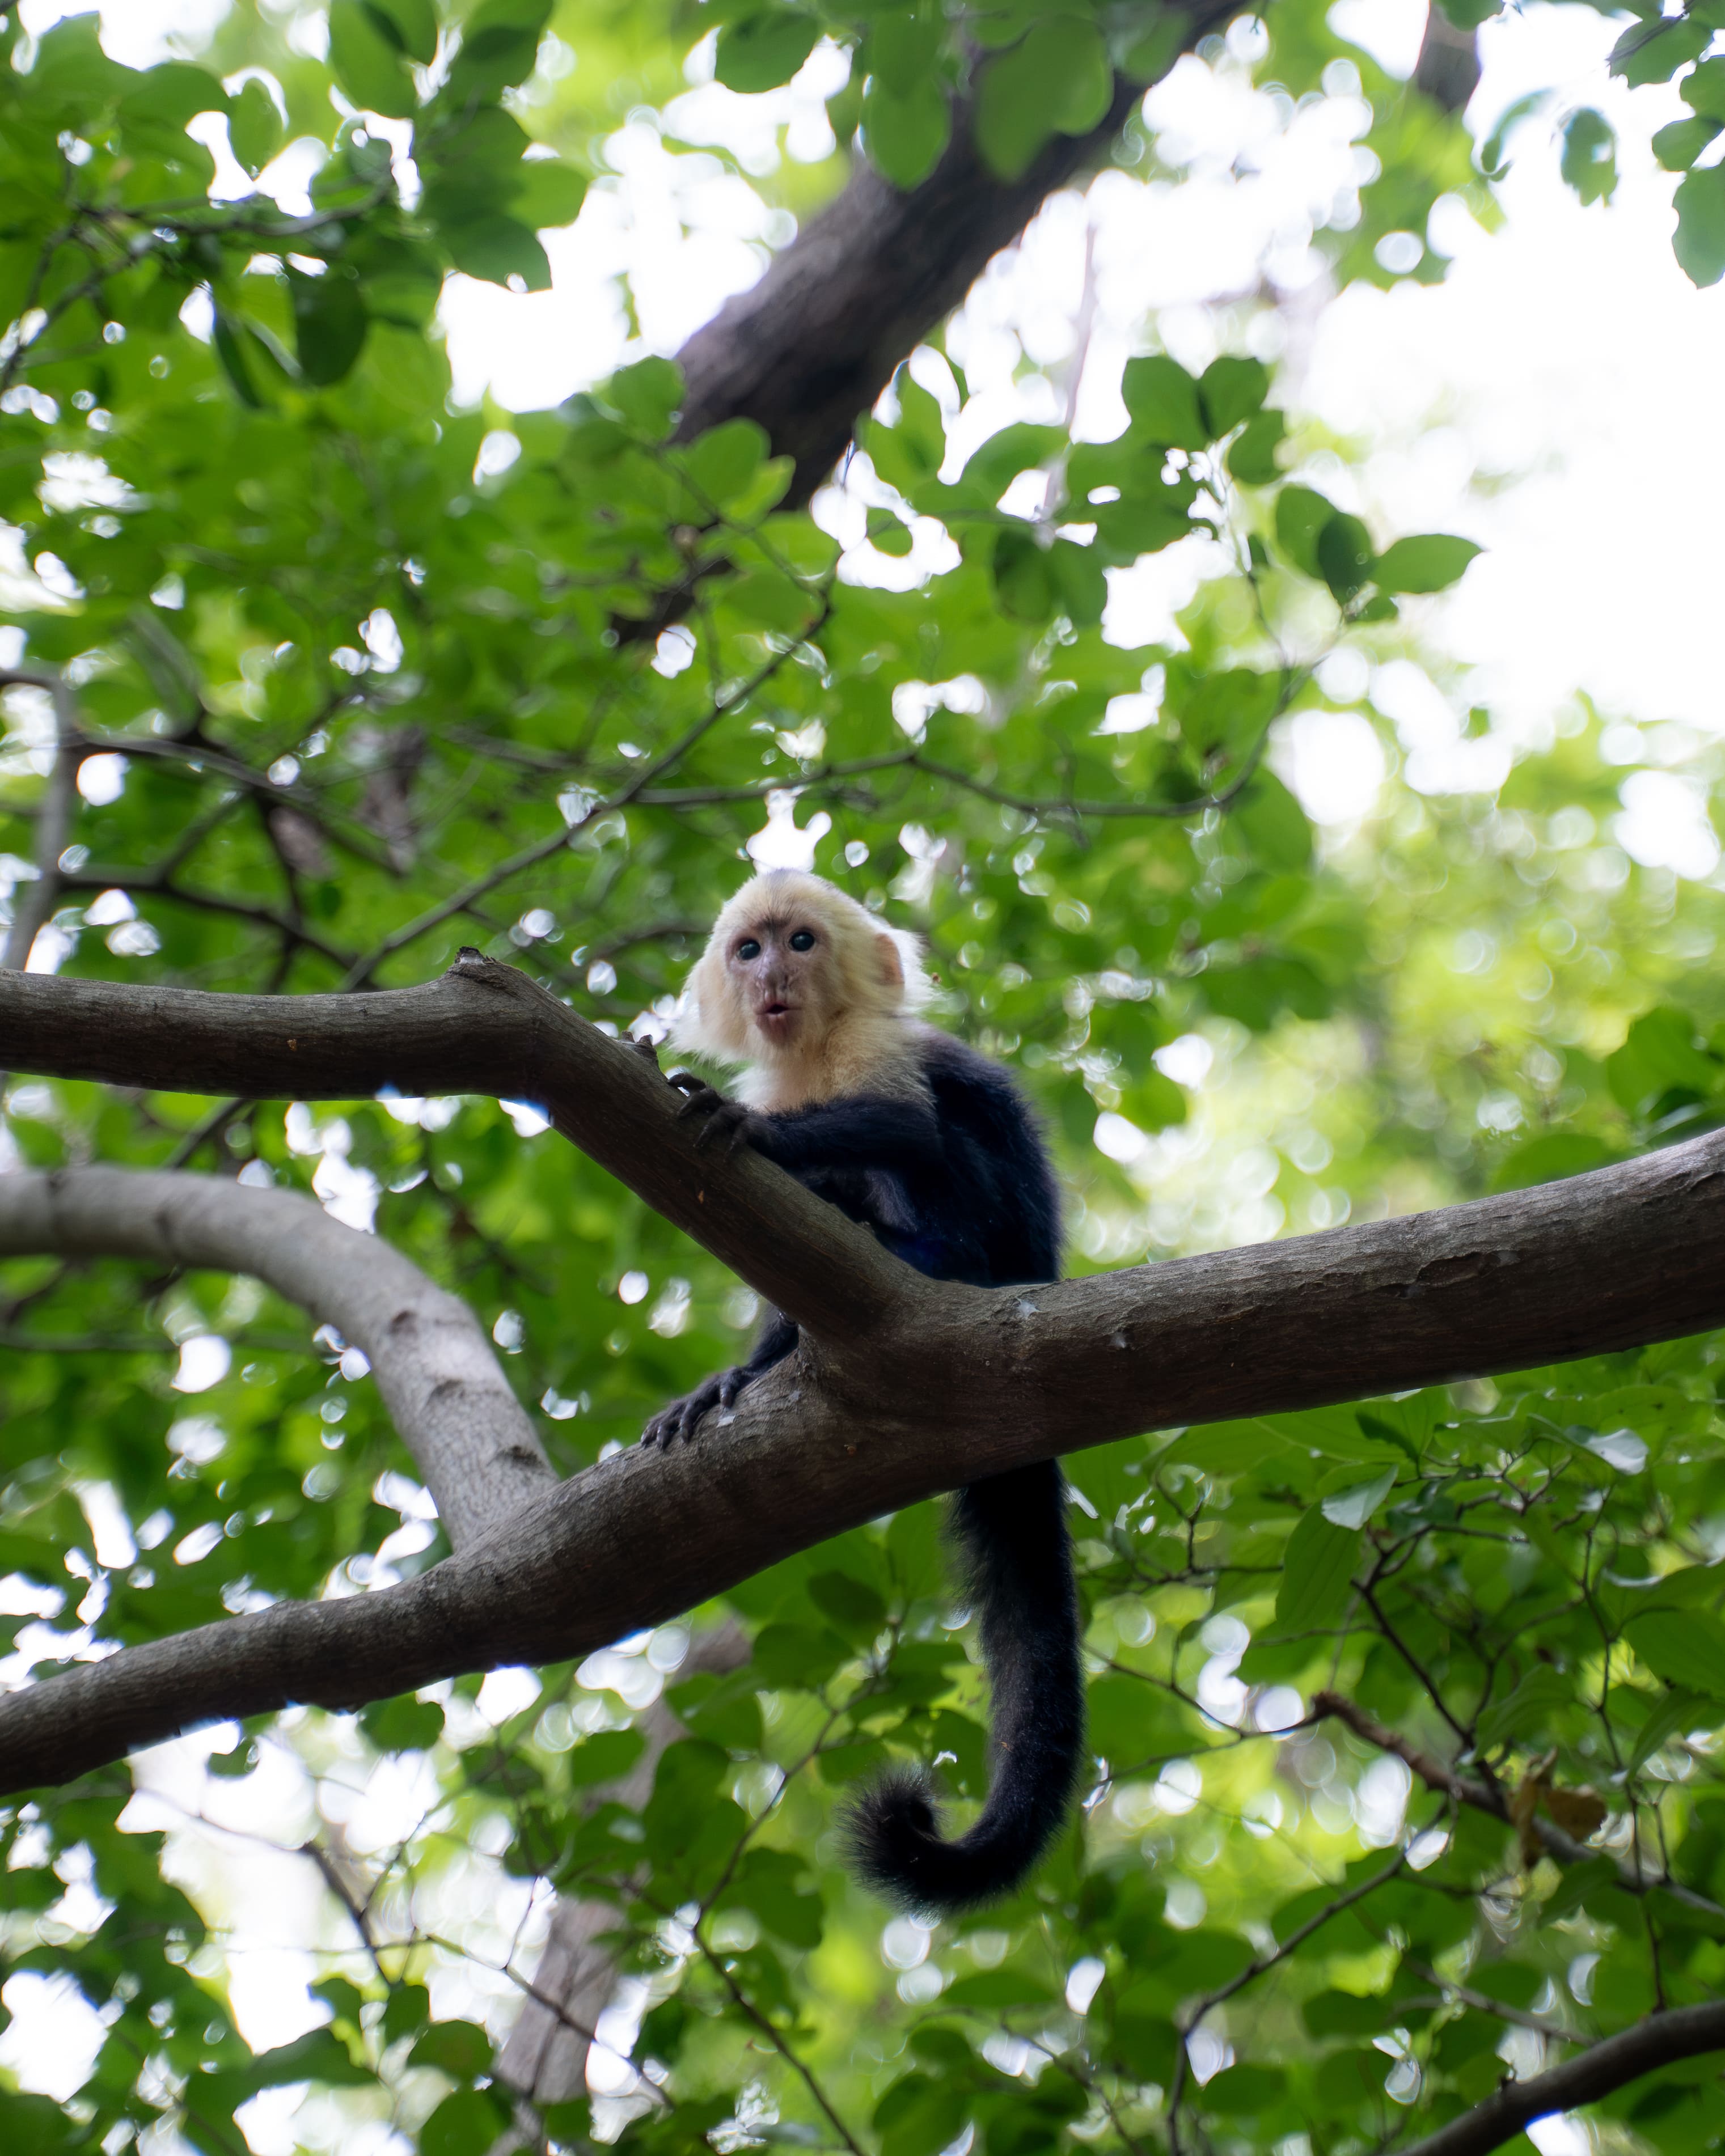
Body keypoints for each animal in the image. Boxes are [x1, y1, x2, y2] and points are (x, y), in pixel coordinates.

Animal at [641, 867, 1083, 1915]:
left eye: (801, 940)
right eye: (749, 948)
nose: (773, 975)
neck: (809, 1056)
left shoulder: (871, 1046)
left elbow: (905, 1123)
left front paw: (755, 1131)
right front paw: (735, 1375)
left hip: (998, 1252)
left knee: (933, 1146)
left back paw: (925, 1256)